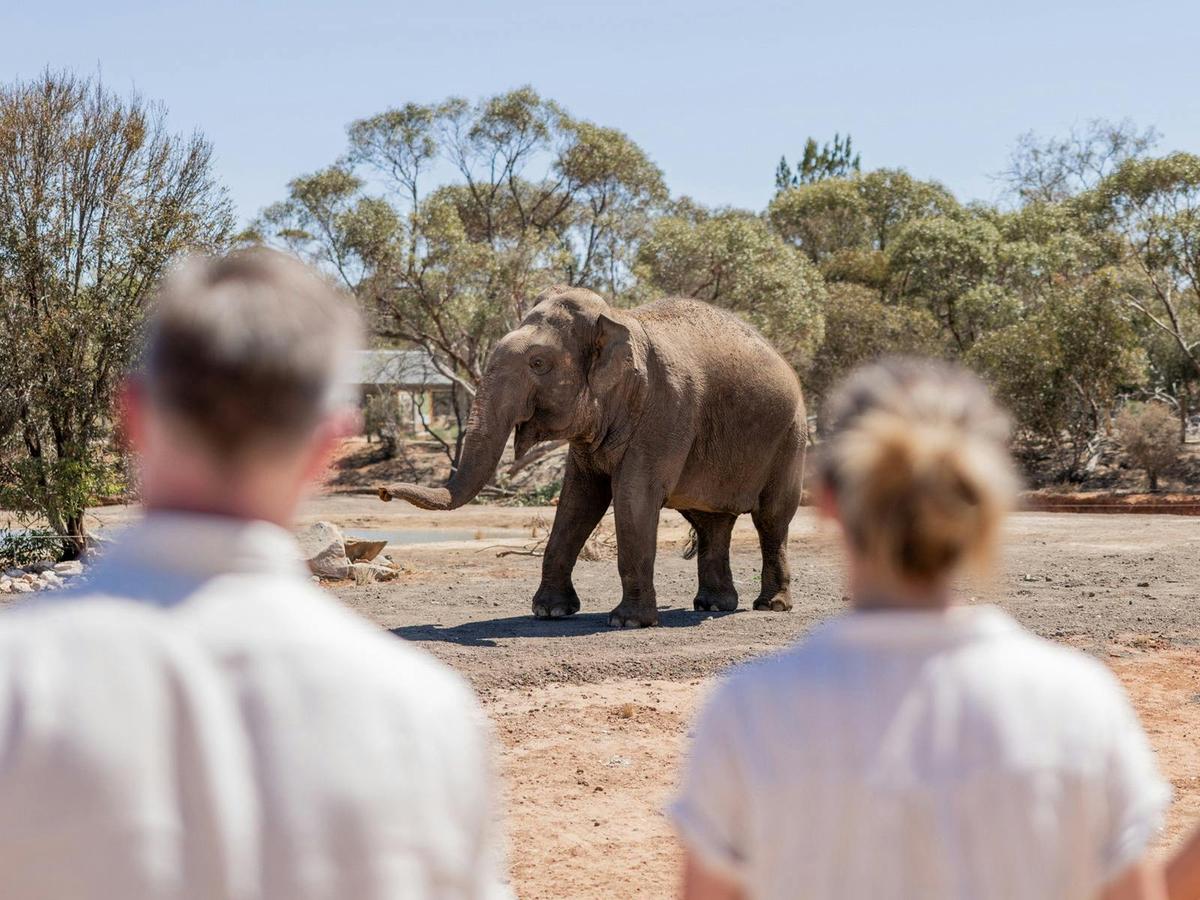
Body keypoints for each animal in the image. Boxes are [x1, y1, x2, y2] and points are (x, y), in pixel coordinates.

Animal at [379, 285, 808, 628]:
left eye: (538, 363)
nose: (381, 490)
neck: (620, 319)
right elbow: (578, 499)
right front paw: (550, 612)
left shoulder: (667, 413)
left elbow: (632, 495)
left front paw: (628, 622)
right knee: (711, 522)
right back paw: (713, 606)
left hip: (791, 439)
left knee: (771, 520)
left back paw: (770, 606)